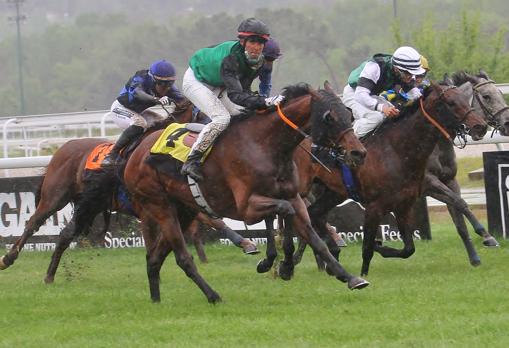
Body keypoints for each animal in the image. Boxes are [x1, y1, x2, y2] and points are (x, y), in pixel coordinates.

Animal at [0, 100, 256, 280]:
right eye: (202, 113)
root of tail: (63, 148)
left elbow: (214, 219)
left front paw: (246, 243)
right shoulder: (151, 206)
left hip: (91, 204)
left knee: (66, 234)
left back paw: (50, 275)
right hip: (55, 196)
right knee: (33, 222)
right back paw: (8, 258)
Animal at [123, 83, 368, 304]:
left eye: (348, 113)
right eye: (329, 117)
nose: (359, 152)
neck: (266, 145)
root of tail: (135, 152)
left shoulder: (294, 196)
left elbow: (313, 236)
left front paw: (348, 277)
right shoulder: (247, 207)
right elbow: (284, 212)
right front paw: (282, 264)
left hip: (184, 210)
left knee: (155, 257)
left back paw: (156, 299)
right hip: (160, 206)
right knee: (183, 257)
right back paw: (212, 295)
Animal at [286, 81, 488, 278]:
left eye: (465, 99)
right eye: (451, 103)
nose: (481, 126)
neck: (396, 151)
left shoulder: (403, 205)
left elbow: (408, 248)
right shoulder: (375, 207)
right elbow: (367, 248)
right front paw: (364, 274)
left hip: (333, 193)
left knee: (314, 214)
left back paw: (330, 255)